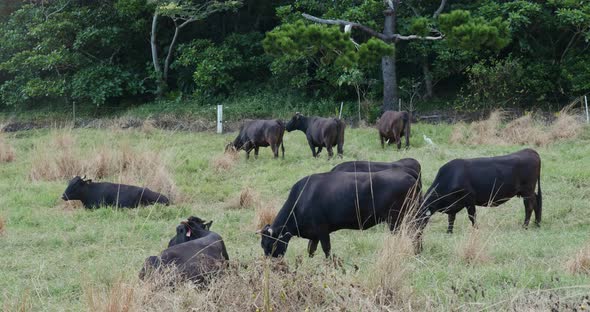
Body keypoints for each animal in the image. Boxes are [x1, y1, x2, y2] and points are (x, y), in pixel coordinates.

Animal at [260, 169, 426, 258]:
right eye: (262, 245)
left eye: (269, 244)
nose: (272, 266)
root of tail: (407, 174)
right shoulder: (314, 234)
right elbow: (311, 250)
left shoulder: (322, 230)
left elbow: (327, 250)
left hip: (397, 218)